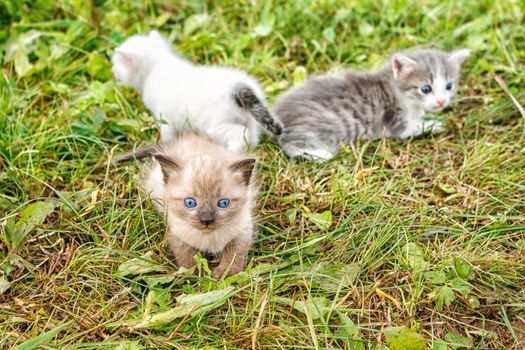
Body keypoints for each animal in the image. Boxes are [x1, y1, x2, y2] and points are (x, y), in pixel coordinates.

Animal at [111, 29, 282, 150]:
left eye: (116, 63)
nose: (113, 70)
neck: (158, 63)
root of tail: (238, 88)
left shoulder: (164, 116)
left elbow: (167, 134)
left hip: (216, 124)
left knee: (240, 135)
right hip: (252, 119)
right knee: (252, 137)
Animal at [117, 134, 258, 278]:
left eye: (223, 203)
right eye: (190, 203)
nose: (206, 220)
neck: (208, 238)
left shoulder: (243, 231)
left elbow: (234, 254)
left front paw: (226, 274)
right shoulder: (177, 234)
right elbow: (186, 256)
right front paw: (194, 274)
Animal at [270, 48, 470, 160]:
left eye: (449, 86)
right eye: (426, 89)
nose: (441, 101)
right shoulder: (395, 120)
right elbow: (410, 129)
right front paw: (432, 124)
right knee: (288, 141)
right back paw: (319, 153)